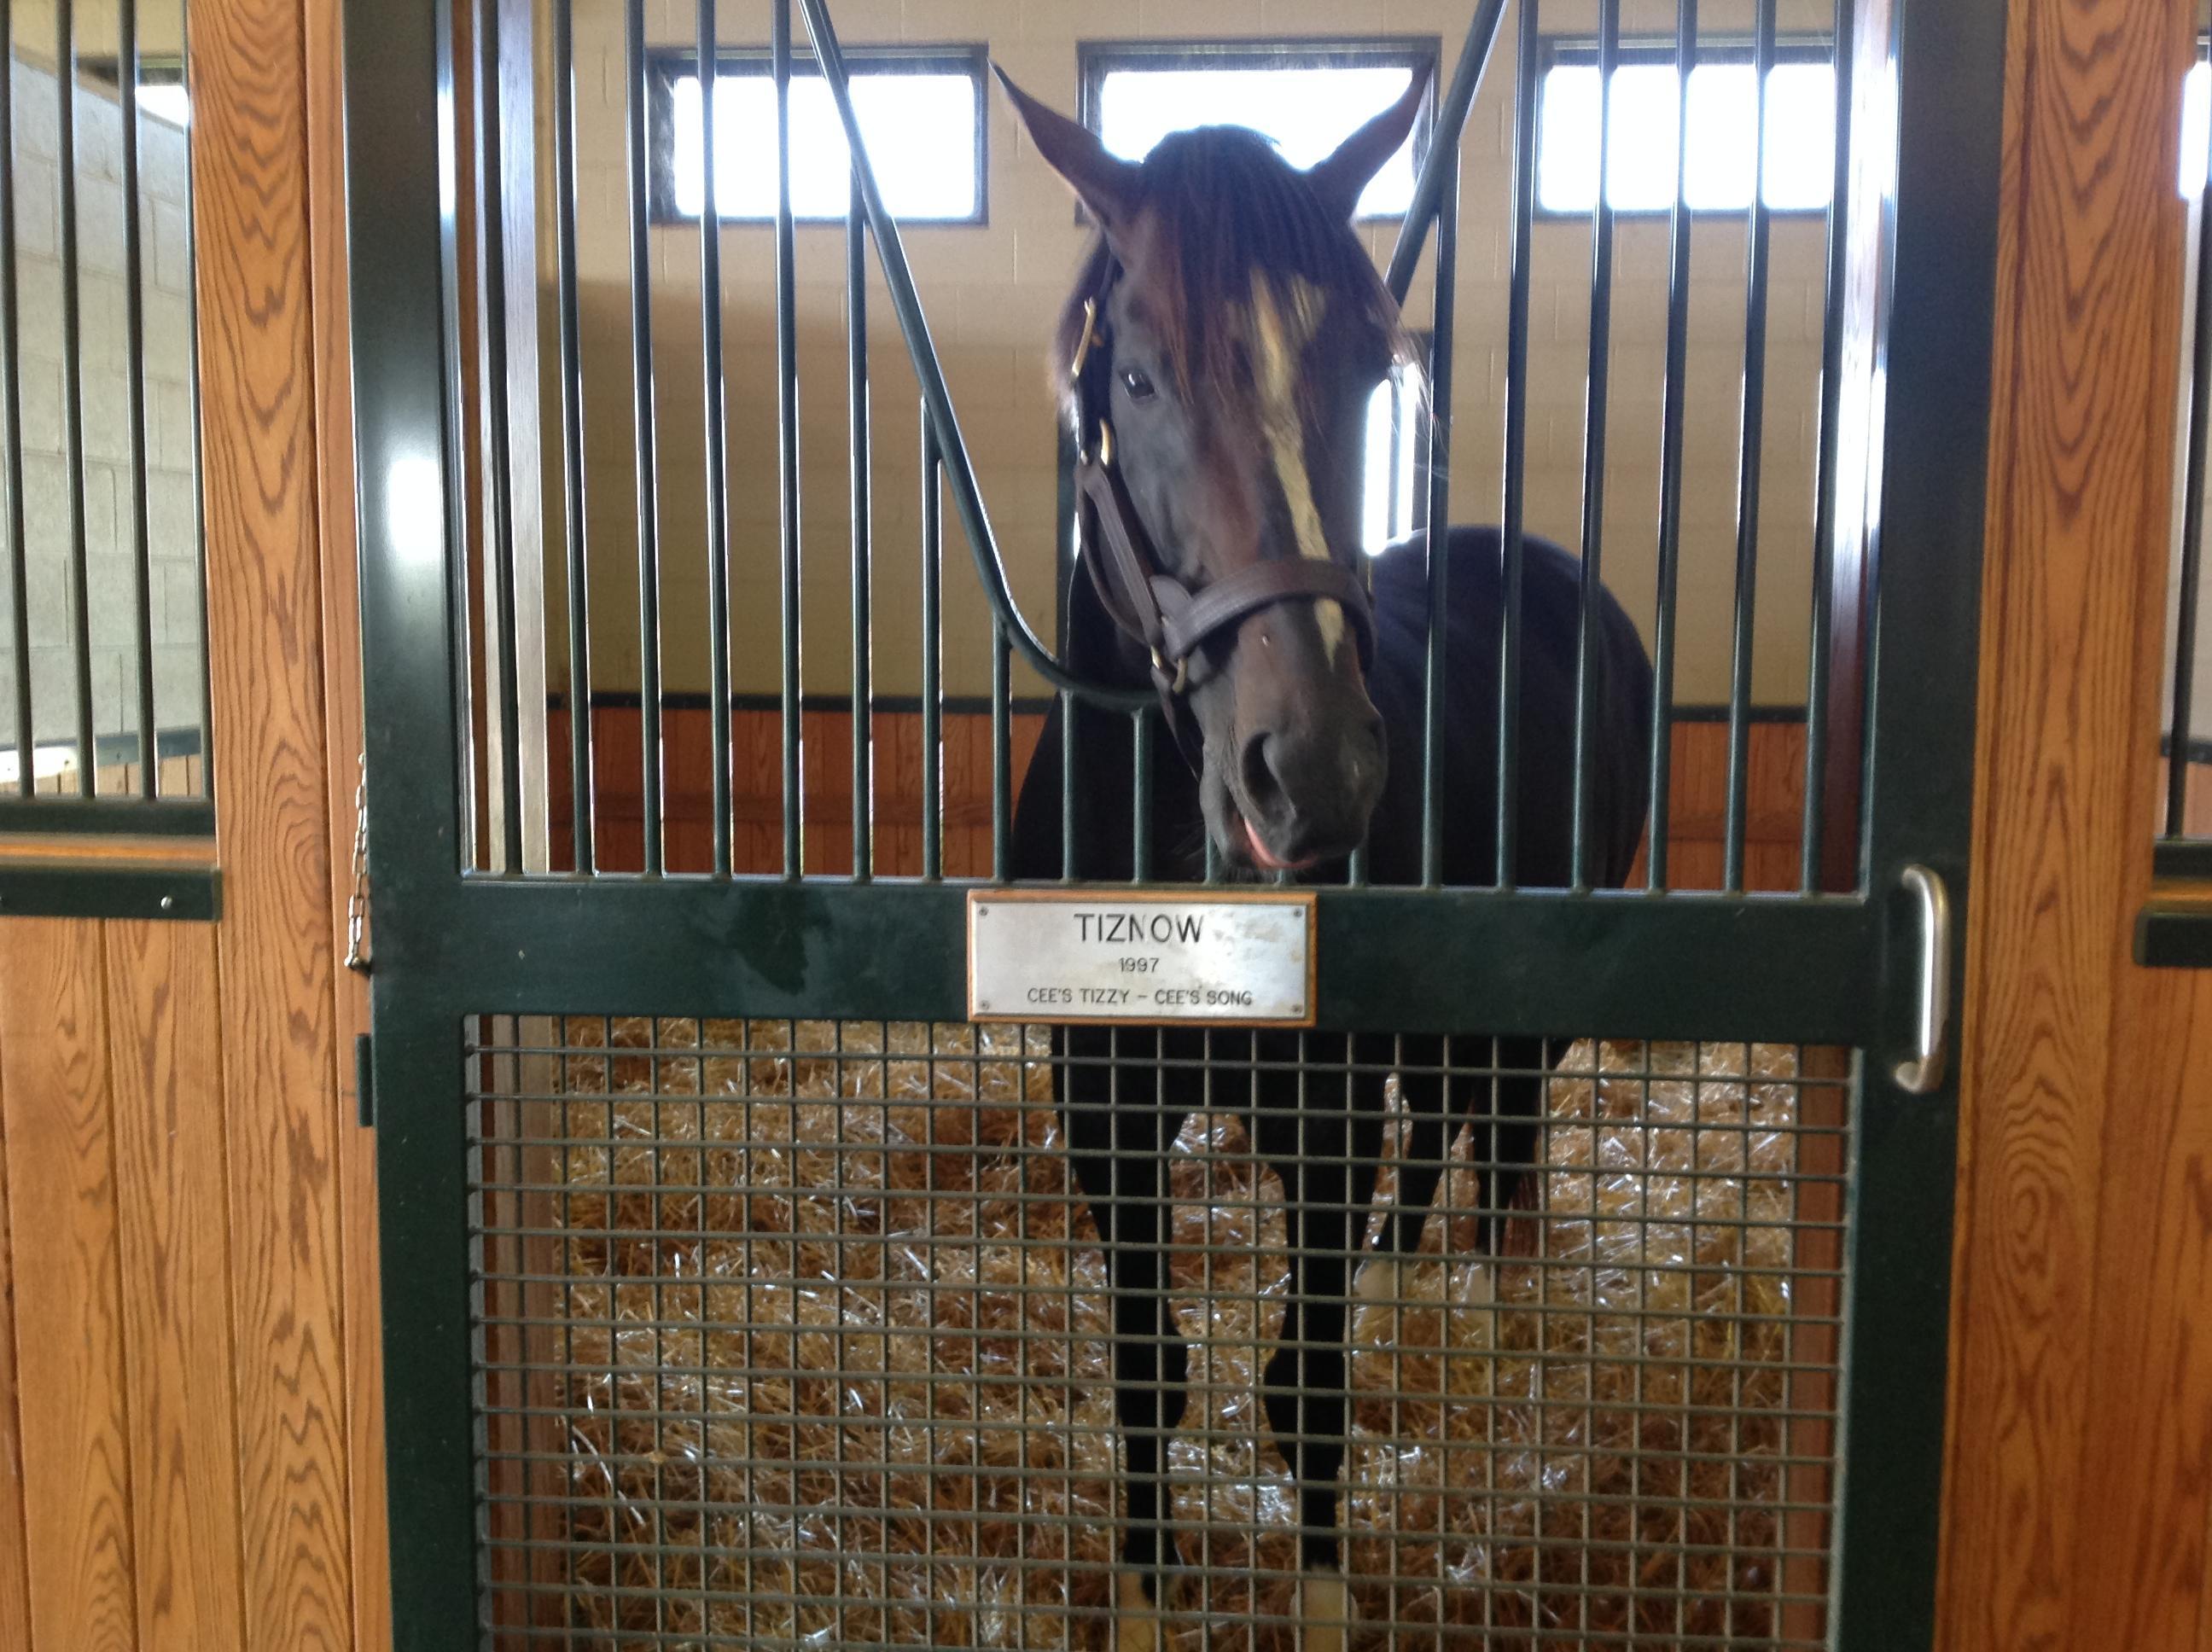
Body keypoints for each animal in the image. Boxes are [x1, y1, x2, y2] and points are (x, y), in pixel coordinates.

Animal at [995, 68, 1655, 1648]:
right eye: (1137, 378)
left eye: (1369, 371)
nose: (1315, 773)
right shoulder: (1105, 1107)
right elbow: (1149, 1373)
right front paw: (1145, 1600)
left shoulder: (1324, 1107)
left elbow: (1306, 1384)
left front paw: (1319, 1599)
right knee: (1442, 1138)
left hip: (1512, 1017)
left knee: (1499, 1147)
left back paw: (1473, 1327)